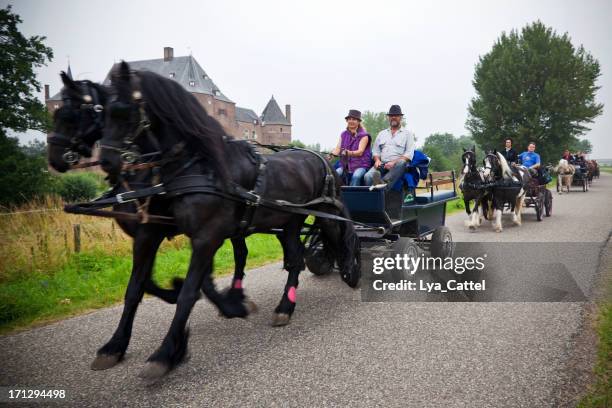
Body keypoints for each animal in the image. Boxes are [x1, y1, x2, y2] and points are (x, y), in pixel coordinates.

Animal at [98, 62, 360, 380]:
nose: (107, 161)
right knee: (297, 257)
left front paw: (165, 353)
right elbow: (136, 287)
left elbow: (189, 292)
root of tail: (322, 160)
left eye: (123, 110)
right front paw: (115, 346)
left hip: (323, 212)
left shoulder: (206, 236)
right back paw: (285, 306)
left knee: (341, 239)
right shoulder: (156, 233)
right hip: (290, 222)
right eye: (102, 110)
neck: (198, 166)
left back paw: (349, 271)